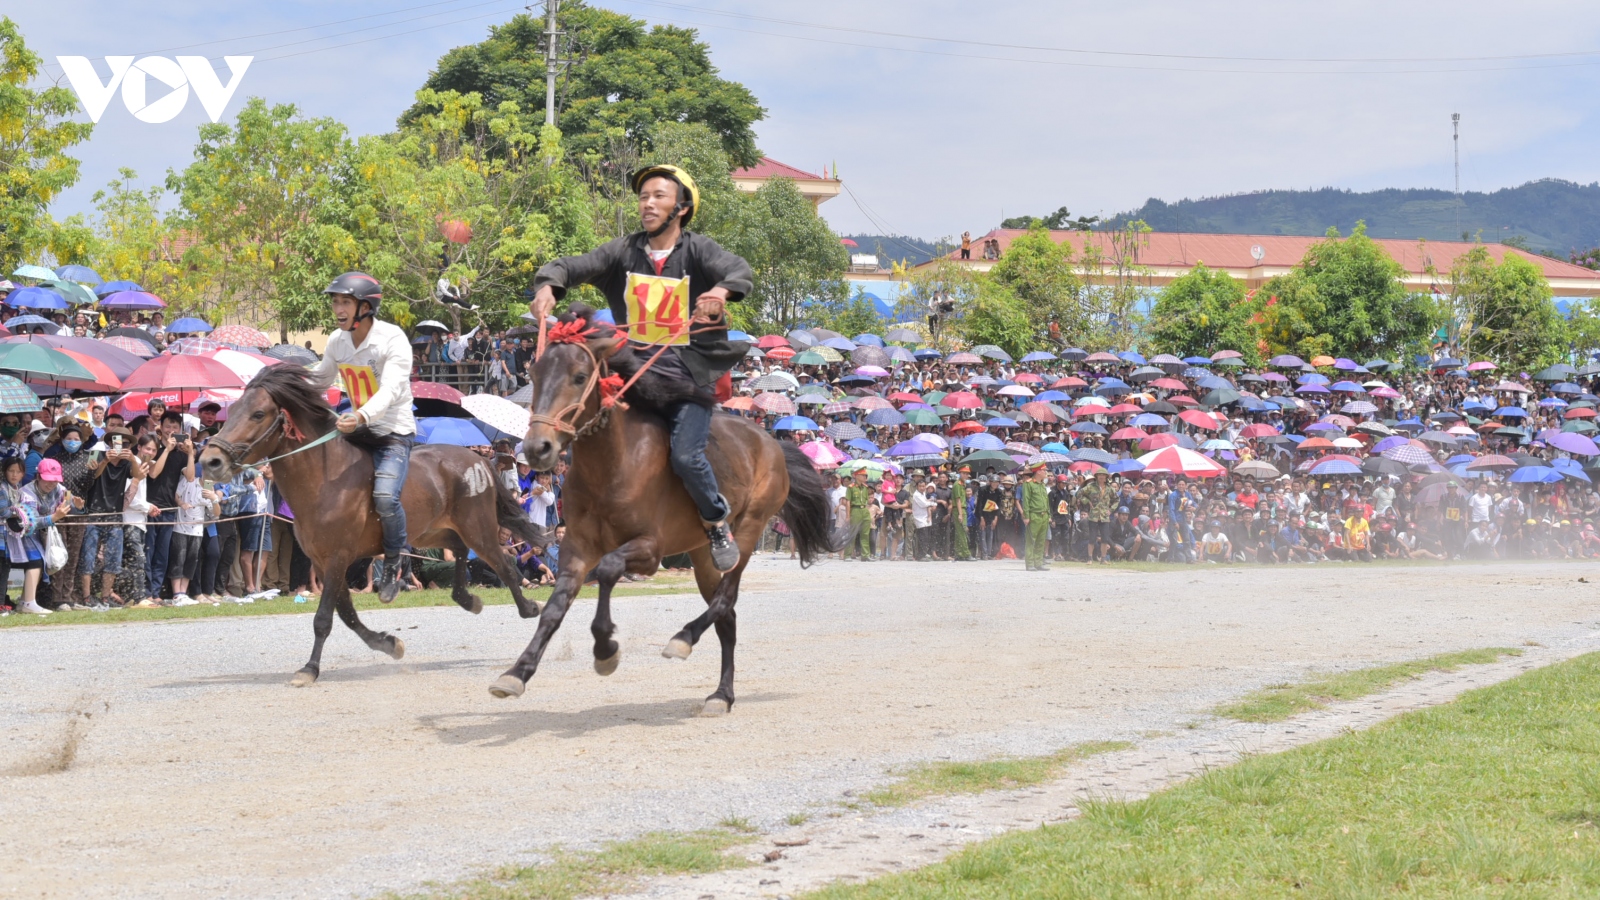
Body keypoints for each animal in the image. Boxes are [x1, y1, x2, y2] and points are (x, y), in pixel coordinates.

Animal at [196, 365, 547, 685]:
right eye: (232, 411)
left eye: (257, 414)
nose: (210, 461)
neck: (325, 480)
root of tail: (479, 461)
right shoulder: (321, 562)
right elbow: (347, 615)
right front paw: (389, 643)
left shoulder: (337, 557)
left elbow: (324, 618)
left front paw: (309, 669)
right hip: (433, 531)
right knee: (460, 551)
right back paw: (467, 599)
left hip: (477, 527)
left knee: (503, 564)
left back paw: (529, 607)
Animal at [492, 307, 832, 714]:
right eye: (535, 375)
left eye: (579, 377)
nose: (537, 447)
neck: (613, 466)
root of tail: (772, 442)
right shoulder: (575, 548)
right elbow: (555, 608)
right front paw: (517, 672)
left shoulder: (650, 549)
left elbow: (608, 570)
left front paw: (605, 649)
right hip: (701, 554)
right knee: (727, 617)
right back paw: (722, 694)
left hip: (749, 530)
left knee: (725, 599)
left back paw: (684, 639)